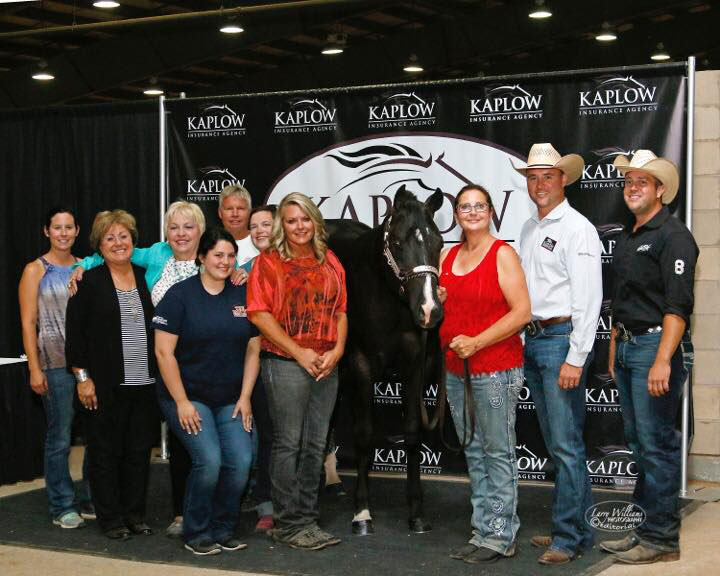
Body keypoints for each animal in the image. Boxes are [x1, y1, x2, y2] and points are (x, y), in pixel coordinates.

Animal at [328, 186, 444, 536]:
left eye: (439, 242)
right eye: (397, 244)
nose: (429, 310)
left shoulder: (414, 365)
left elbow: (413, 433)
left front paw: (416, 512)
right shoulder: (362, 365)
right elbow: (365, 434)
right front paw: (362, 512)